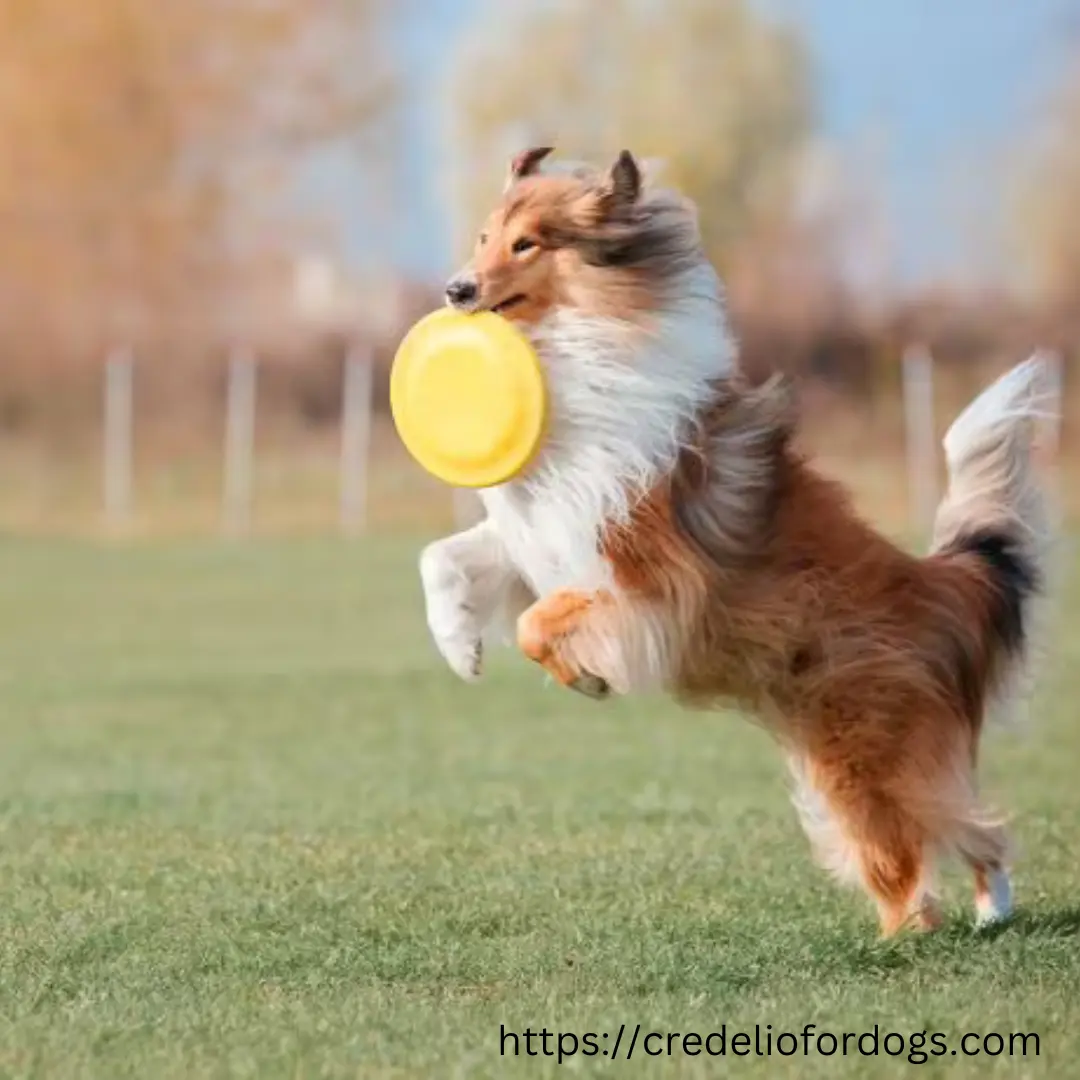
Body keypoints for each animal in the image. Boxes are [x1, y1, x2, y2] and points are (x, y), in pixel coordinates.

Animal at [421, 145, 1054, 937]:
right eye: (484, 236)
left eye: (527, 243)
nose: (456, 289)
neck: (576, 346)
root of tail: (937, 583)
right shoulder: (539, 533)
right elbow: (442, 560)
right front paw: (462, 650)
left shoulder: (646, 576)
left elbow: (541, 621)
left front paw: (587, 676)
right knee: (951, 832)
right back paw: (981, 910)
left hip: (862, 753)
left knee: (934, 842)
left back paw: (919, 931)